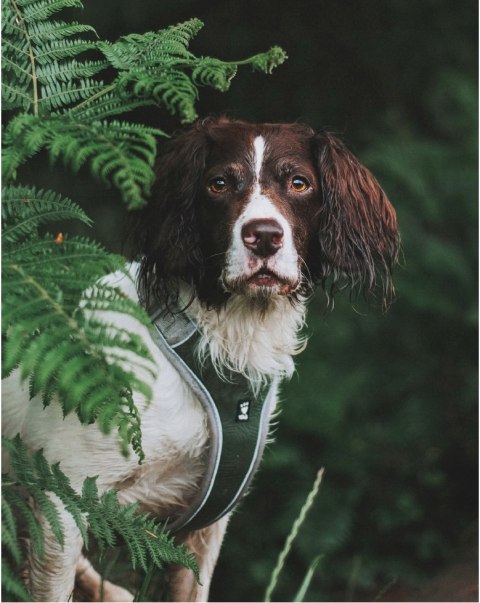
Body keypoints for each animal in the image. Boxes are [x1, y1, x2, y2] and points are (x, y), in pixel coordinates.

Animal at [1, 115, 400, 600]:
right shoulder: (62, 503)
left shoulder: (206, 525)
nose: (264, 237)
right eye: (219, 183)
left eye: (299, 183)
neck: (214, 340)